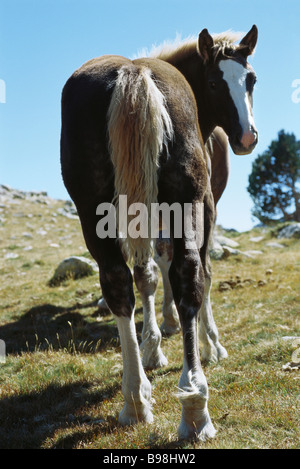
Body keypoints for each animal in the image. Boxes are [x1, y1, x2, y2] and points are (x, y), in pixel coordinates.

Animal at [61, 27, 258, 440]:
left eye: (251, 79)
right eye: (215, 82)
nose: (248, 138)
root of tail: (133, 74)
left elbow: (148, 274)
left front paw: (154, 344)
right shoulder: (206, 206)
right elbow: (203, 274)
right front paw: (211, 343)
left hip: (93, 212)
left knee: (119, 283)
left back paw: (136, 399)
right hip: (186, 206)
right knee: (188, 275)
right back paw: (195, 404)